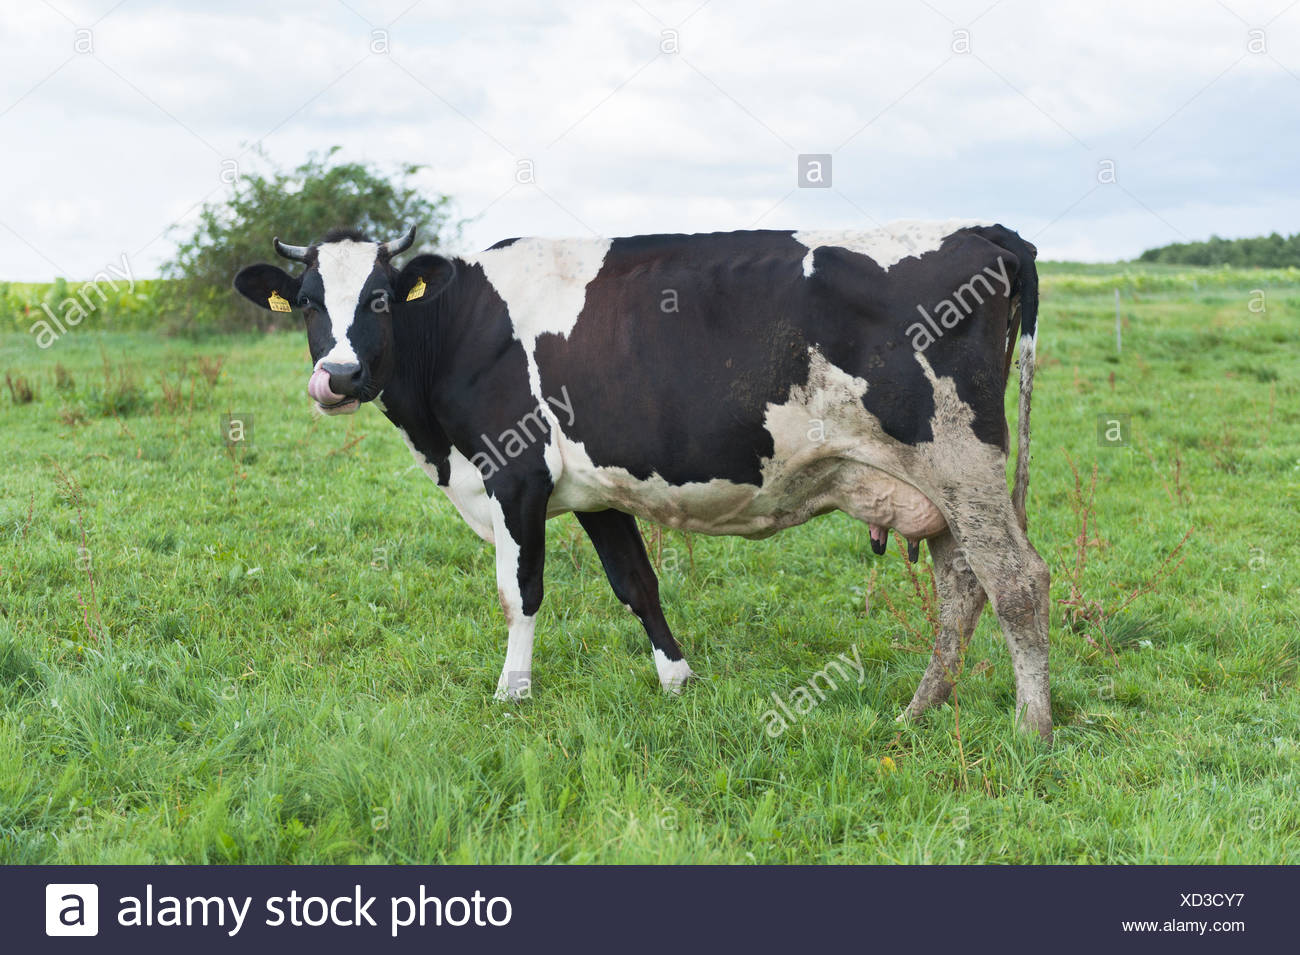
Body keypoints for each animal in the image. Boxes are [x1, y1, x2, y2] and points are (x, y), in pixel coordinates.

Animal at [234, 220, 1052, 740]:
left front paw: (512, 693)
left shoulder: (514, 474)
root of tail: (983, 232)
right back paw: (920, 711)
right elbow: (636, 582)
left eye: (377, 299)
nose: (338, 377)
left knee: (1016, 581)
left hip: (962, 462)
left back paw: (1030, 727)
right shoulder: (596, 490)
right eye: (308, 302)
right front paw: (678, 679)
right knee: (963, 589)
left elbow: (519, 592)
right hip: (940, 488)